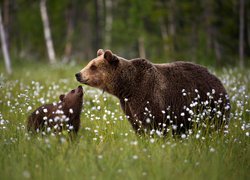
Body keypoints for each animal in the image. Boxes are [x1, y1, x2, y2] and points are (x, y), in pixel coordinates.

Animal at [75, 49, 229, 135]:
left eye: (93, 66)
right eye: (90, 63)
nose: (78, 74)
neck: (127, 87)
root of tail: (218, 79)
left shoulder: (147, 94)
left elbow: (152, 122)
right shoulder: (128, 104)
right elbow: (136, 125)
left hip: (209, 103)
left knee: (215, 124)